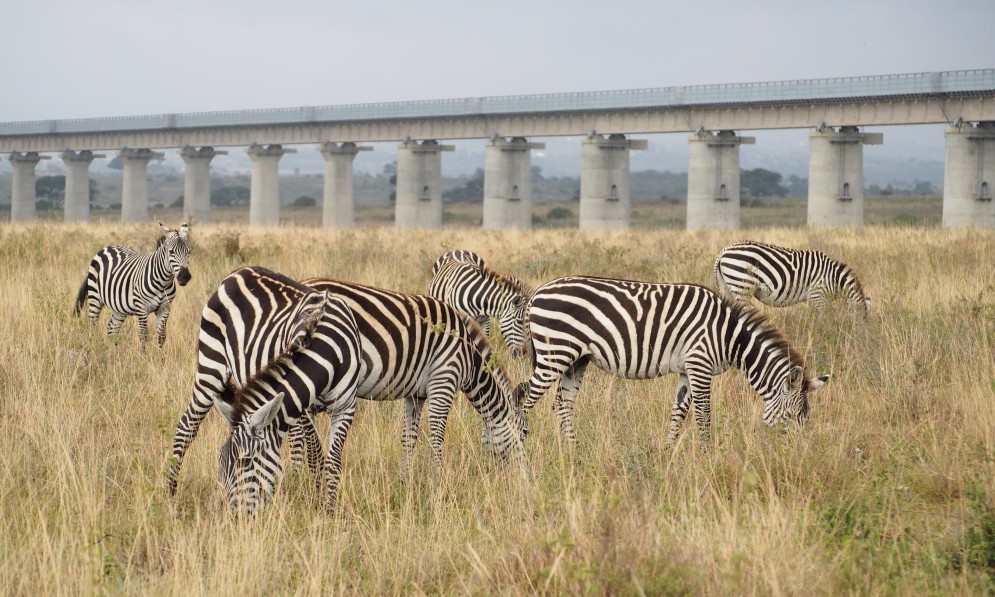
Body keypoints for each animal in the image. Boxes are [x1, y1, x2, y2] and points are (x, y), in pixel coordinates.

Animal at [166, 266, 362, 517]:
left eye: (246, 461)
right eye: (221, 462)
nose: (234, 517)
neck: (328, 354)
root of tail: (238, 272)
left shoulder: (345, 408)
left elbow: (331, 462)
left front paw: (328, 510)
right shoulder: (304, 409)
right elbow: (316, 454)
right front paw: (319, 504)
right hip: (210, 368)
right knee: (186, 427)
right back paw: (171, 495)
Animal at [294, 277, 528, 471]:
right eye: (525, 434)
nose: (524, 477)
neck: (468, 356)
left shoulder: (416, 395)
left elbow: (409, 438)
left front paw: (405, 480)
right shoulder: (444, 380)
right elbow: (436, 437)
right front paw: (439, 481)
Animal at [517, 275, 830, 443]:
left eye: (806, 419)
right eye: (792, 416)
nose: (795, 455)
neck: (730, 336)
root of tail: (538, 293)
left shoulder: (687, 370)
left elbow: (678, 412)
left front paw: (668, 453)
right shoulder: (700, 364)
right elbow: (703, 414)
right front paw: (707, 456)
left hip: (575, 359)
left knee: (562, 403)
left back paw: (572, 449)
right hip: (555, 353)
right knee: (522, 397)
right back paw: (519, 450)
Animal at [713, 241, 871, 317]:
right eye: (862, 320)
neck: (834, 279)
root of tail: (723, 251)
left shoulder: (814, 299)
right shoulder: (818, 296)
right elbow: (823, 319)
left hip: (728, 287)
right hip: (742, 285)